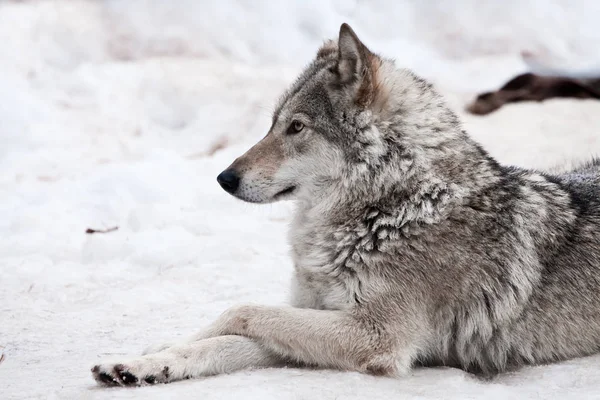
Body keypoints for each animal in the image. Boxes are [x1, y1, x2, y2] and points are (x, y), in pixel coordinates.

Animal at [91, 23, 600, 386]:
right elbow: (224, 337)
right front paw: (147, 361)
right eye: (272, 124)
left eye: (297, 127)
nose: (224, 178)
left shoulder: (374, 337)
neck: (391, 208)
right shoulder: (322, 316)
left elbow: (242, 311)